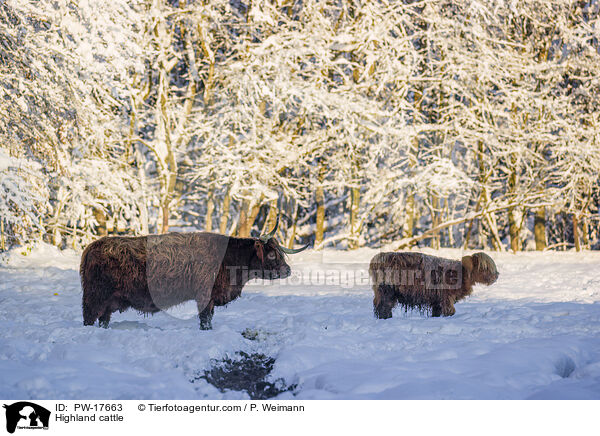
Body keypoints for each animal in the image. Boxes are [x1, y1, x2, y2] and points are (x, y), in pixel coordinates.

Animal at [80, 220, 308, 328]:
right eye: (271, 254)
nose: (287, 270)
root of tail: (92, 246)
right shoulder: (205, 297)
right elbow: (205, 320)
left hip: (108, 302)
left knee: (104, 319)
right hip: (95, 297)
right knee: (90, 318)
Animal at [368, 250, 500, 318]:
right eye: (485, 267)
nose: (497, 275)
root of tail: (379, 257)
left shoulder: (437, 299)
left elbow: (437, 311)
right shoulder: (446, 297)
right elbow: (450, 310)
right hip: (387, 289)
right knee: (384, 305)